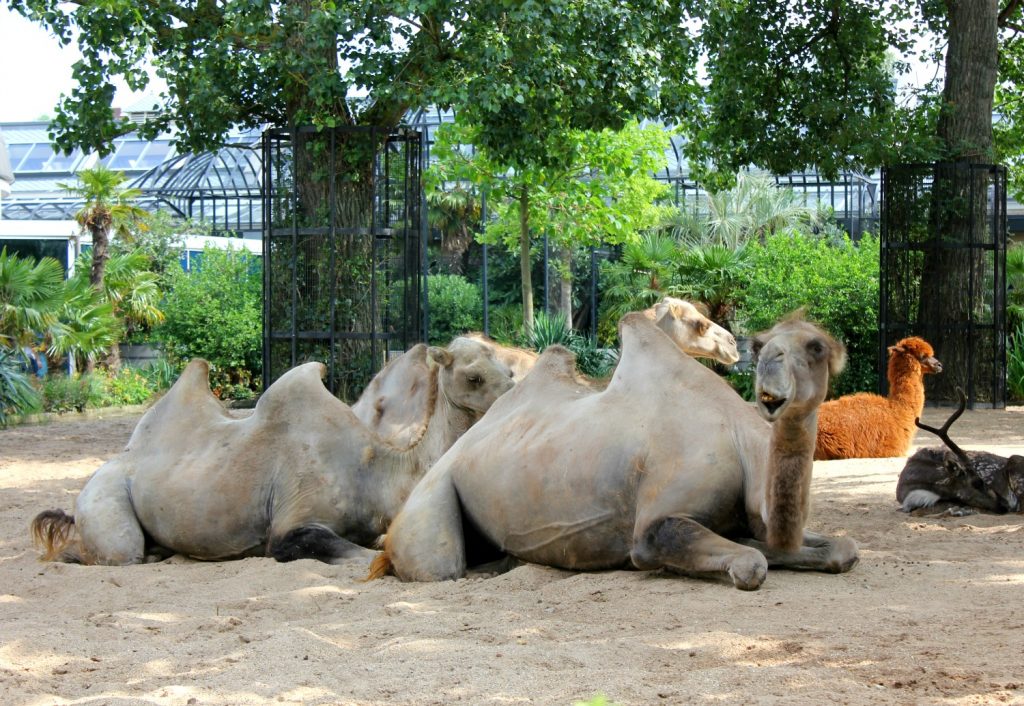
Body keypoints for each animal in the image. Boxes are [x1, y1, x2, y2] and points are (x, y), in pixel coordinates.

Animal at [30, 337, 514, 566]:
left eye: (509, 370)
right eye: (473, 377)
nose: (514, 393)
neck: (378, 470)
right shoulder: (291, 523)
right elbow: (351, 552)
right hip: (106, 499)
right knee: (115, 551)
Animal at [370, 312, 856, 590]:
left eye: (817, 346)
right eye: (761, 345)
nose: (771, 365)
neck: (742, 442)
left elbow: (843, 548)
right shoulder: (655, 524)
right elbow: (751, 562)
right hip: (432, 497)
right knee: (437, 564)